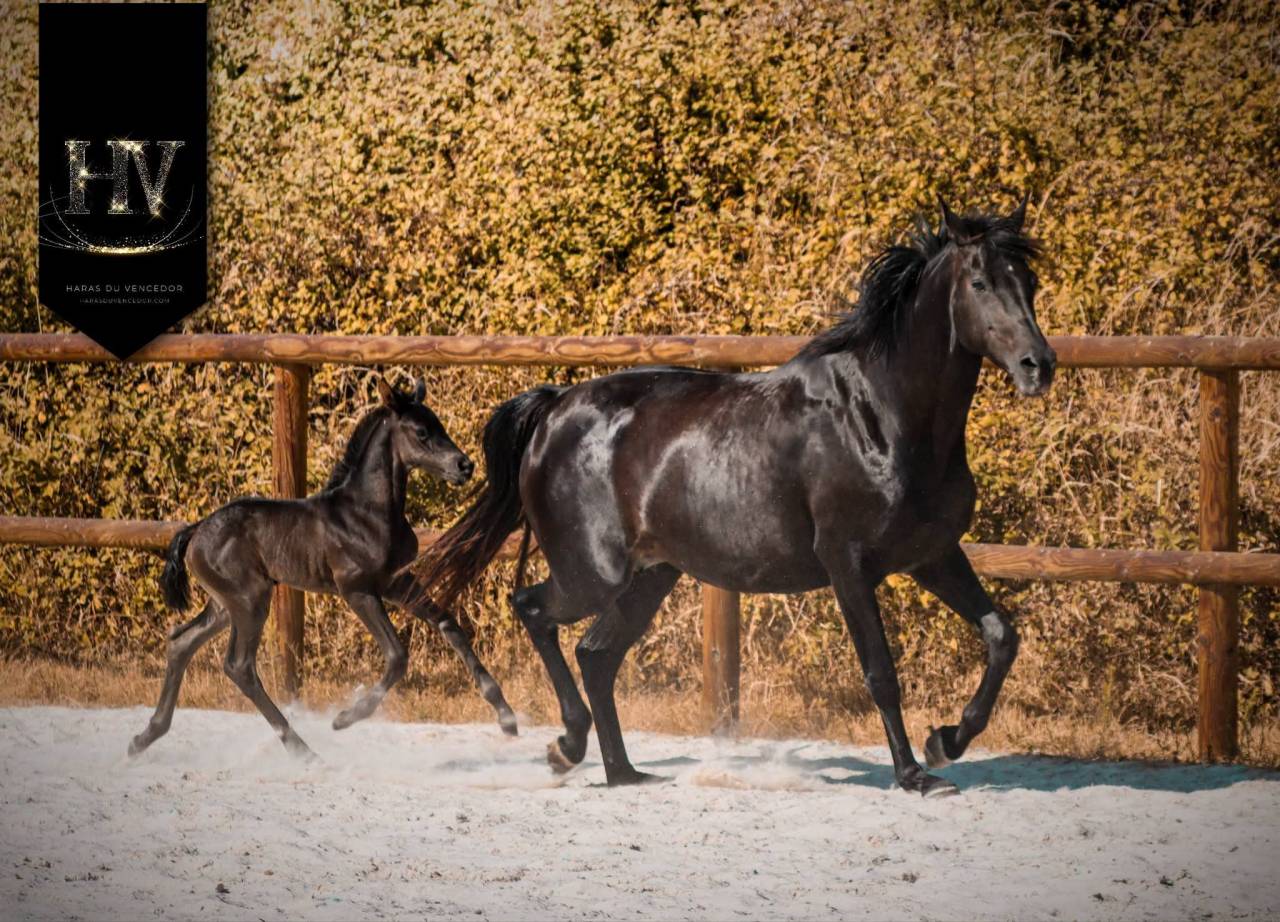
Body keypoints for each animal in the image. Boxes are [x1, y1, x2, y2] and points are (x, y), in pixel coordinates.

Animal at [128, 377, 518, 760]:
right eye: (421, 432)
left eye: (439, 425)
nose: (464, 466)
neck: (367, 511)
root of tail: (196, 531)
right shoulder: (356, 589)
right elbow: (397, 656)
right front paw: (345, 718)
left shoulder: (396, 581)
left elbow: (449, 625)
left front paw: (506, 716)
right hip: (251, 600)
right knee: (239, 666)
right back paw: (302, 749)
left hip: (225, 605)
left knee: (181, 642)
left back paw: (144, 737)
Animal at [415, 199, 1055, 796]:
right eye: (979, 283)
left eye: (1028, 281)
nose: (1039, 366)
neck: (881, 416)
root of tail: (552, 408)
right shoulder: (848, 564)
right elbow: (881, 672)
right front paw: (916, 775)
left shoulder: (932, 554)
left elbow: (1002, 637)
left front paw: (947, 740)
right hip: (592, 573)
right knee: (533, 610)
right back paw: (567, 746)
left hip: (651, 574)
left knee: (596, 655)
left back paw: (624, 773)